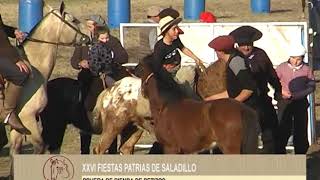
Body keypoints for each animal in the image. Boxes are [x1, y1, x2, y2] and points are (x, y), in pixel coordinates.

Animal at [3, 1, 89, 155]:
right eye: (73, 20)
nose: (90, 35)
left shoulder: (19, 126)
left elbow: (15, 151)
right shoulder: (28, 119)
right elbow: (40, 146)